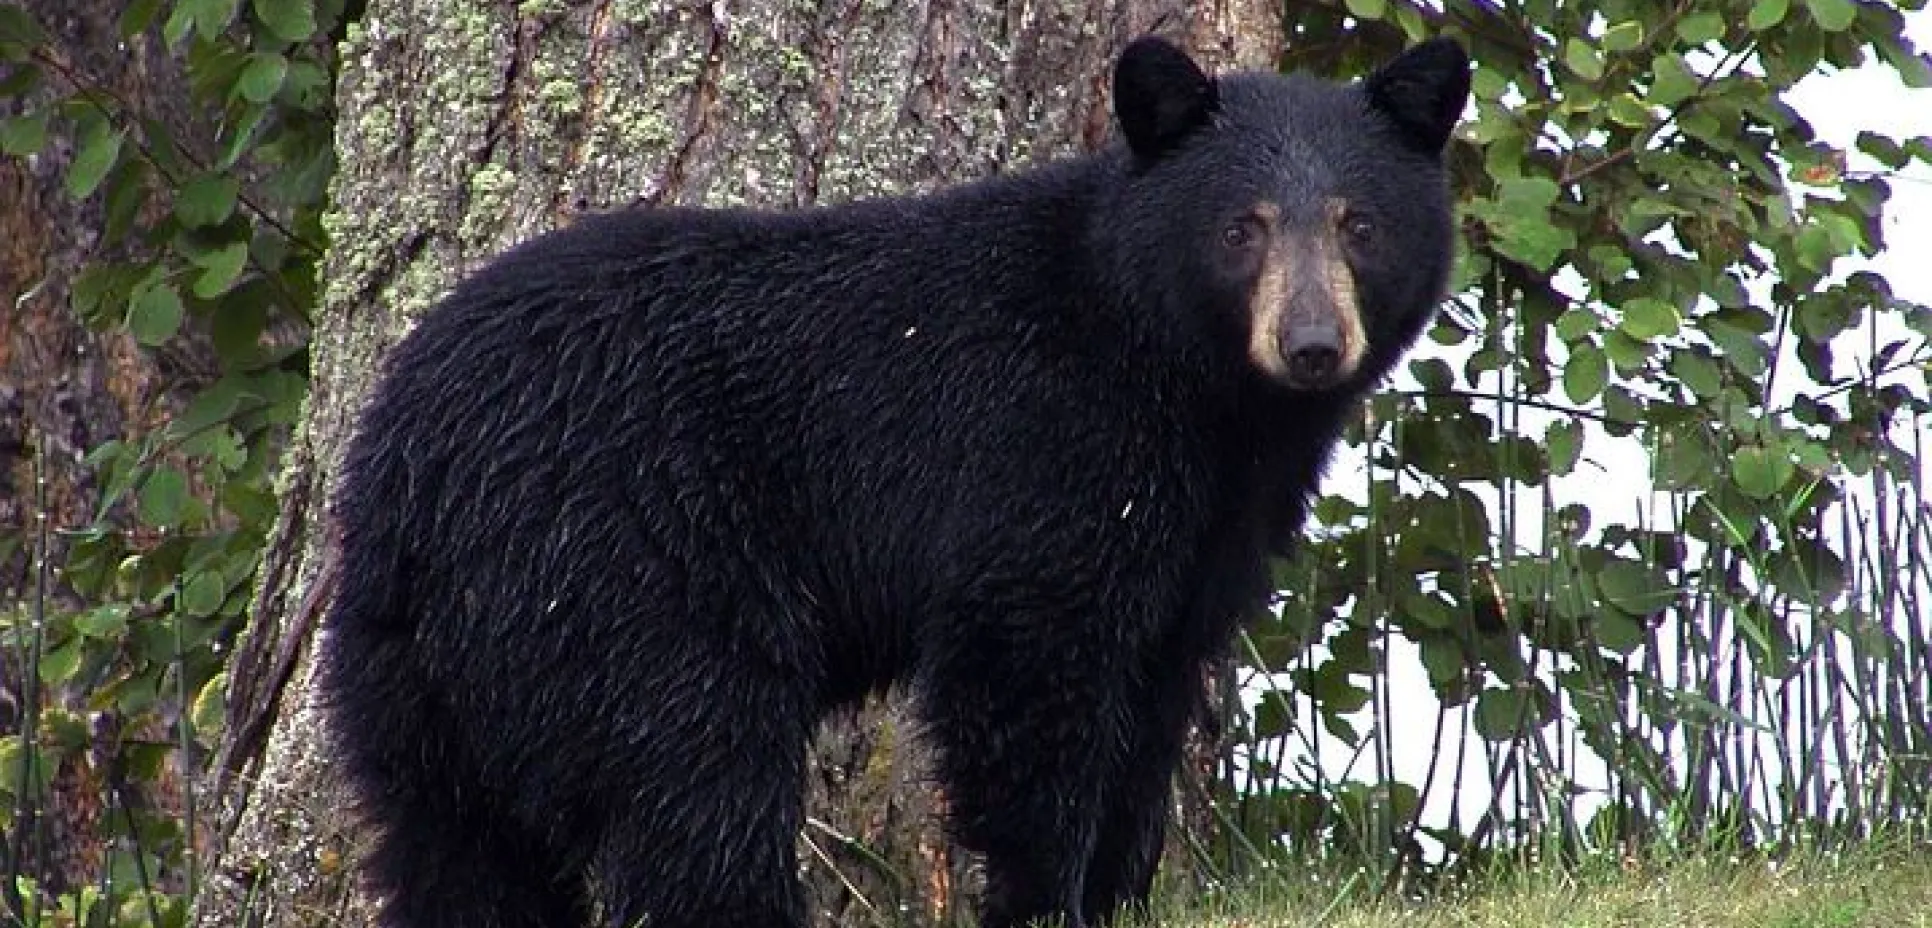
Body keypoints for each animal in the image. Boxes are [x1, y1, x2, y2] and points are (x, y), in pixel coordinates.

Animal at [317, 34, 1469, 928]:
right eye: (1243, 227)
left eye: (1360, 224)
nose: (1312, 345)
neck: (1189, 384)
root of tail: (407, 468)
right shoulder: (1047, 449)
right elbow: (1029, 669)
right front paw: (1045, 895)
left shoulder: (1210, 526)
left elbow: (1155, 691)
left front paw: (1119, 890)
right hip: (625, 571)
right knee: (695, 776)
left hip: (412, 669)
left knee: (453, 841)